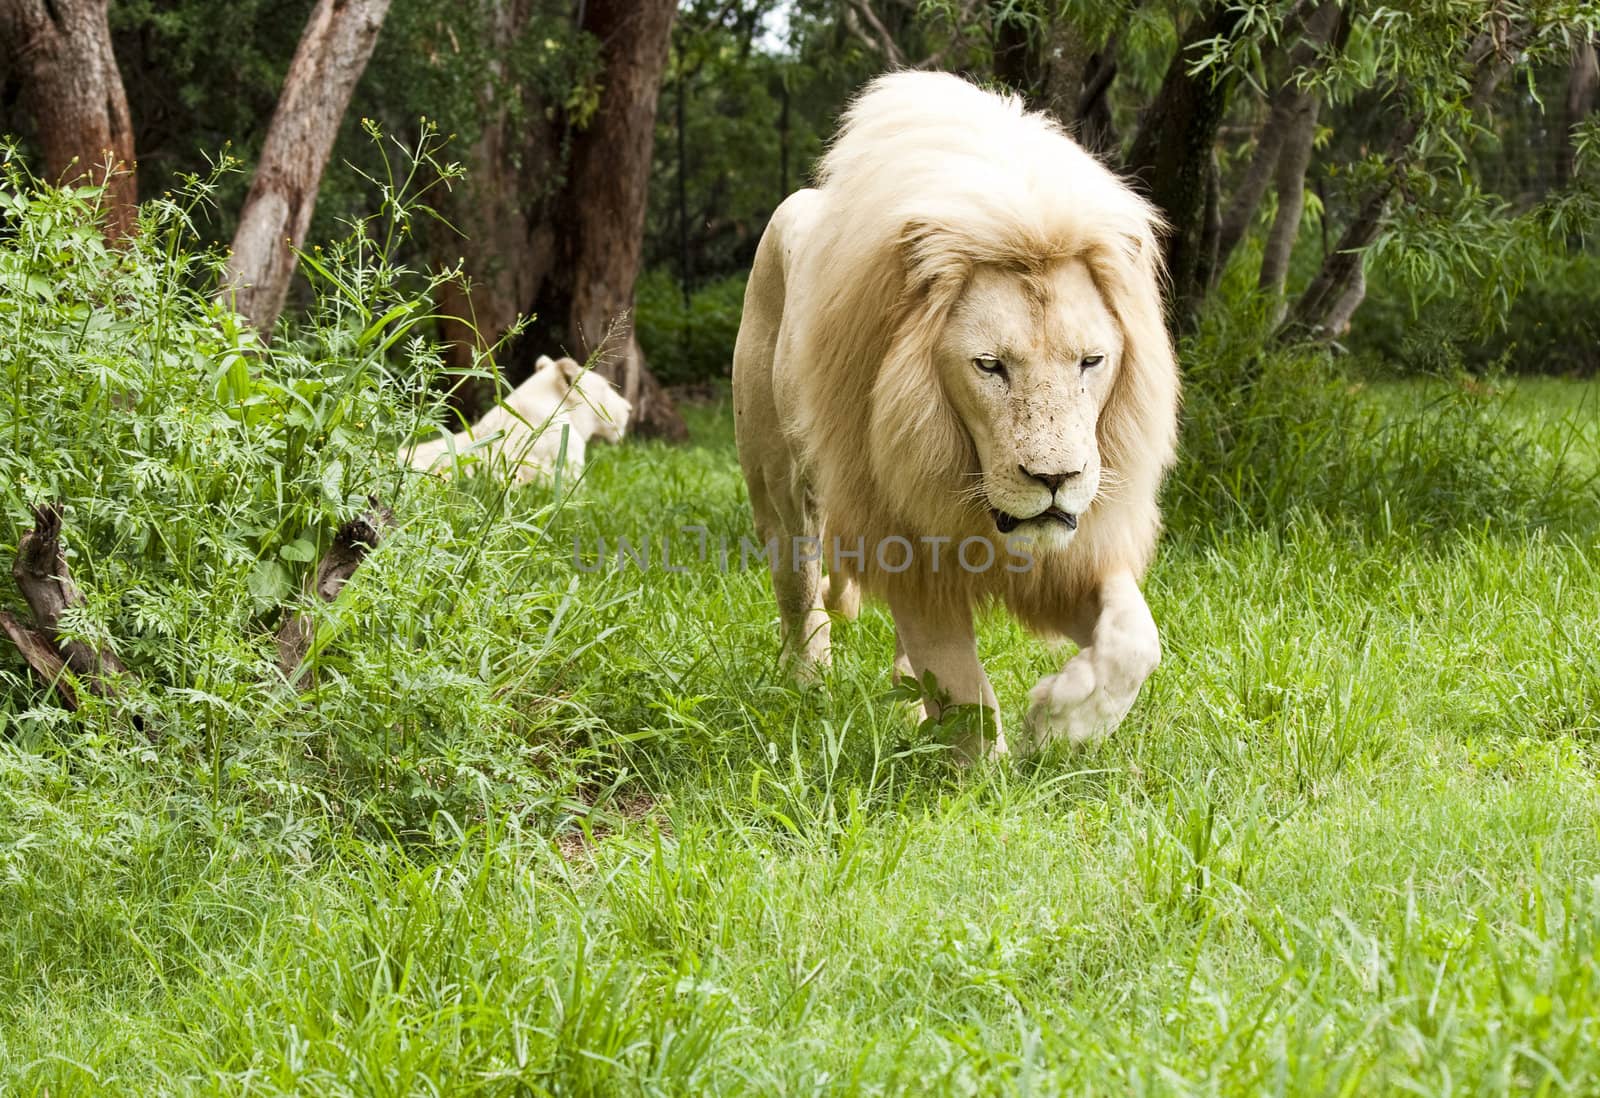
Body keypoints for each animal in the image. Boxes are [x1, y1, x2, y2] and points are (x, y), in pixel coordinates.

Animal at [732, 68, 1177, 755]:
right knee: (799, 590)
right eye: (990, 366)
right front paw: (989, 766)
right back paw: (807, 685)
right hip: (780, 485)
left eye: (1091, 361)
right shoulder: (905, 534)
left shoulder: (1072, 554)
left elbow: (1137, 641)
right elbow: (963, 688)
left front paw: (1059, 722)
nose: (1054, 480)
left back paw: (907, 705)